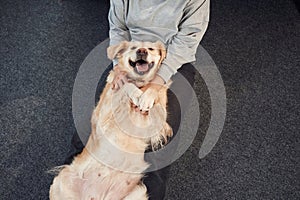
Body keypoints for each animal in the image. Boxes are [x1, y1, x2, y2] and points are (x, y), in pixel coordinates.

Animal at [49, 41, 171, 200]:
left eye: (150, 49)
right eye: (133, 47)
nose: (142, 51)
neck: (140, 83)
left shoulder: (154, 126)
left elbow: (159, 106)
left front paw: (148, 96)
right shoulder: (106, 113)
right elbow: (125, 85)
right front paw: (136, 93)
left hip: (139, 193)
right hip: (63, 178)